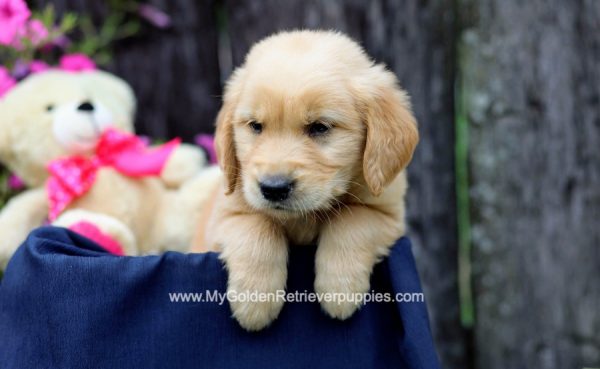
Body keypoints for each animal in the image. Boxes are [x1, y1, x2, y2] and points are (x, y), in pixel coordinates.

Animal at [192, 30, 418, 330]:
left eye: (320, 127)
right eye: (255, 126)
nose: (273, 189)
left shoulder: (388, 214)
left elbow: (353, 219)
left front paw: (339, 290)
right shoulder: (223, 215)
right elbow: (256, 224)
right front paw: (255, 301)